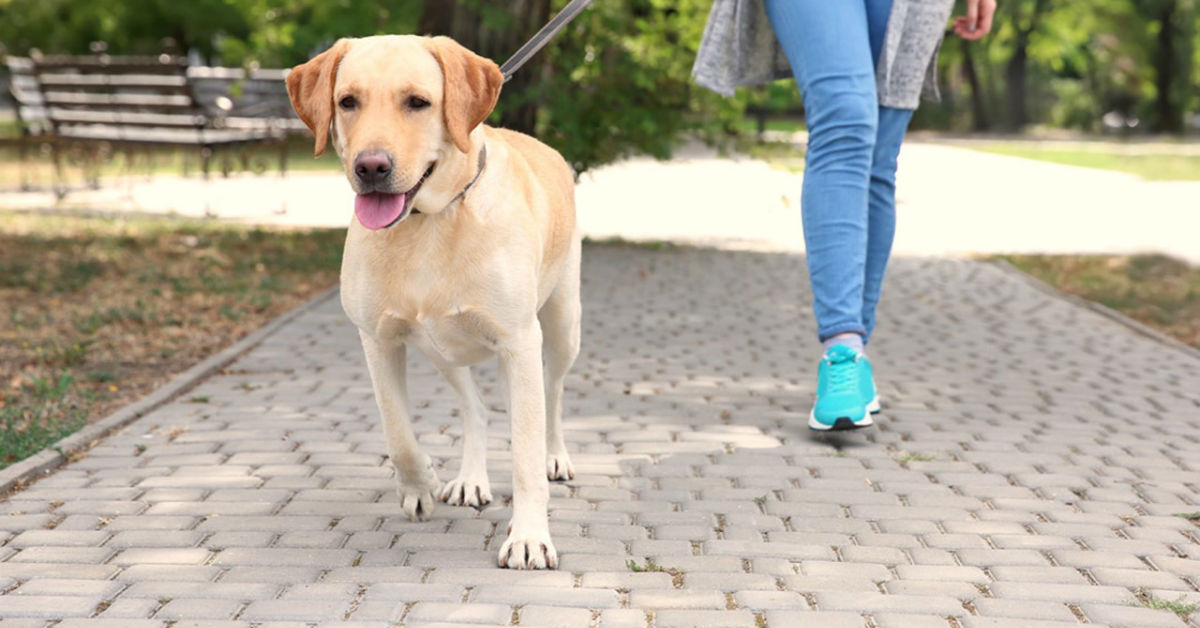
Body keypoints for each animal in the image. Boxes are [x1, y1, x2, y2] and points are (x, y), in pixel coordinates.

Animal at [285, 36, 576, 571]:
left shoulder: (520, 341)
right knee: (475, 407)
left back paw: (555, 456)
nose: (370, 167)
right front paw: (419, 484)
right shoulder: (377, 340)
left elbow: (525, 453)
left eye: (417, 102)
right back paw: (471, 478)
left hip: (563, 325)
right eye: (347, 101)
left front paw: (529, 536)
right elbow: (398, 432)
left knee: (553, 393)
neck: (429, 223)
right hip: (442, 350)